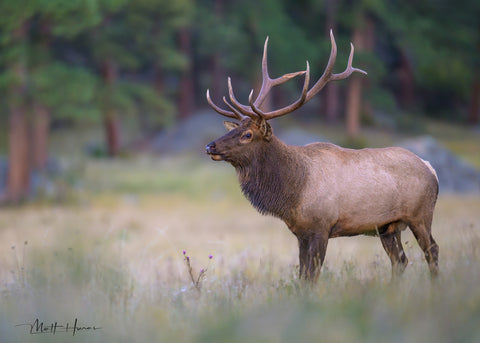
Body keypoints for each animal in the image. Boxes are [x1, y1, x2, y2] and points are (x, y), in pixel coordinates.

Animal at [204, 30, 436, 282]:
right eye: (233, 129)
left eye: (247, 134)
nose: (210, 146)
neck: (293, 193)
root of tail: (430, 168)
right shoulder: (301, 232)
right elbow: (303, 275)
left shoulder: (321, 226)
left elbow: (312, 276)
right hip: (387, 227)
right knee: (400, 260)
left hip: (421, 215)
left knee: (432, 251)